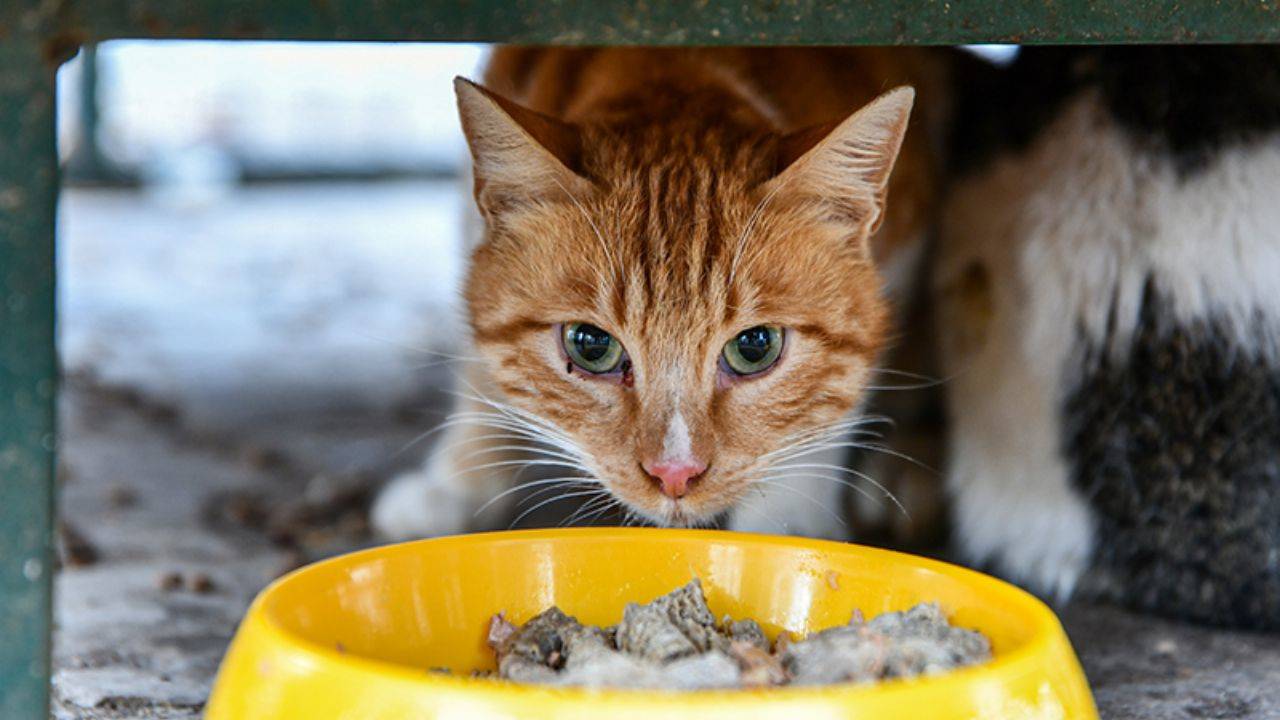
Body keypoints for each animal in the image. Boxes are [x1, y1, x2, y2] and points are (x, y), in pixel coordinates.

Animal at [371, 46, 952, 538]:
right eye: (591, 346)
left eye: (756, 347)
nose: (676, 472)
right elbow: (480, 366)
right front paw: (459, 478)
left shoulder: (905, 244)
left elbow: (830, 406)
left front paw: (788, 525)